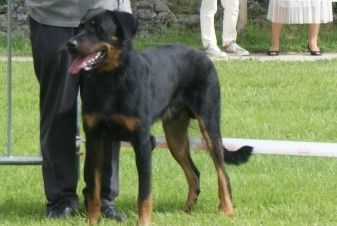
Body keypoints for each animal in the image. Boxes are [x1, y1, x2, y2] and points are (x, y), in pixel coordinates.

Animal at [67, 8, 252, 224]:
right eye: (80, 27)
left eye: (98, 28)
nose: (70, 44)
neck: (110, 80)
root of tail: (202, 54)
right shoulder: (94, 137)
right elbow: (94, 187)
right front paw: (92, 220)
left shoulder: (143, 142)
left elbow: (144, 191)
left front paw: (144, 221)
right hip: (174, 136)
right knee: (194, 173)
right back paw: (186, 210)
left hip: (209, 123)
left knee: (222, 171)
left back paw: (227, 209)